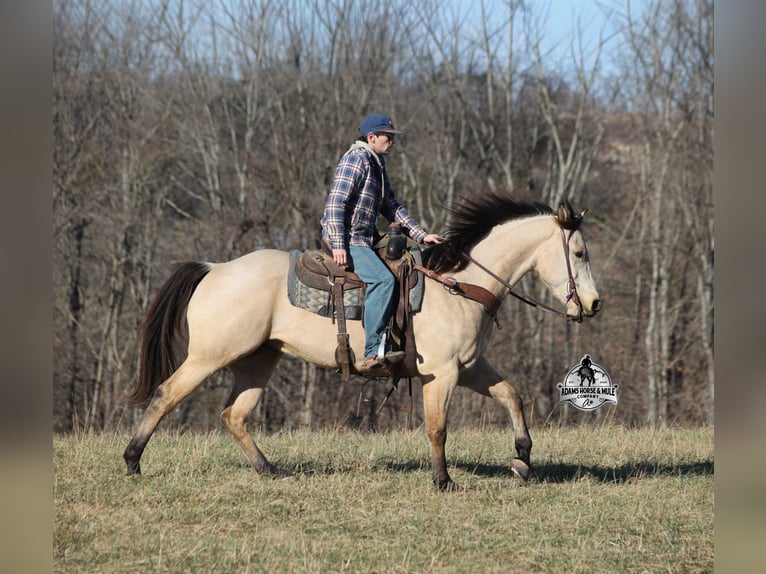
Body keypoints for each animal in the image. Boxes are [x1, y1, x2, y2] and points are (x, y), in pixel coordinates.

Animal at [123, 190, 602, 491]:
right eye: (579, 253)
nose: (594, 304)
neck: (459, 285)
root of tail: (215, 268)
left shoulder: (470, 369)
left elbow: (512, 396)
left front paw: (522, 460)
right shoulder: (442, 374)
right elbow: (438, 427)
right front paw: (444, 481)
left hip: (258, 359)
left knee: (233, 415)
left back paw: (270, 471)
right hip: (210, 356)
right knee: (166, 395)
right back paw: (132, 461)